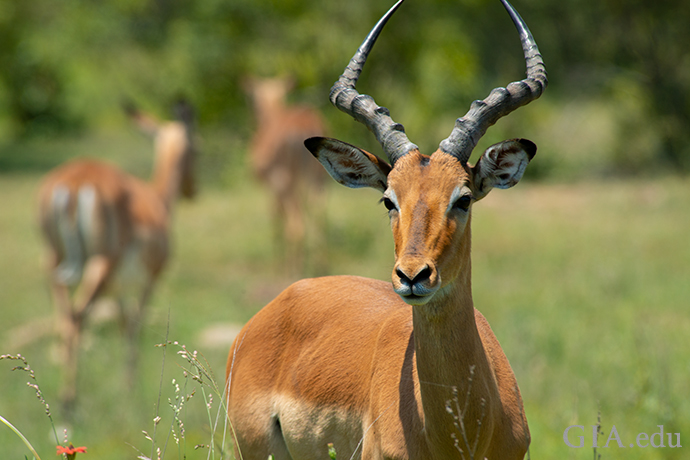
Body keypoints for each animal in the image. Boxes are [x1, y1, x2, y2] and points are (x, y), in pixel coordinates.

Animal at [38, 99, 196, 416]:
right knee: (77, 316)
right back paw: (69, 401)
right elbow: (134, 324)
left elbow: (123, 322)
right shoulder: (150, 280)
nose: (192, 190)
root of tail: (74, 182)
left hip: (54, 264)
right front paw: (129, 389)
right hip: (100, 266)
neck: (157, 201)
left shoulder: (120, 288)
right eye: (197, 149)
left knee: (63, 318)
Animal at [243, 77, 326, 274]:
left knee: (296, 225)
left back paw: (292, 269)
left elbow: (275, 217)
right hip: (319, 181)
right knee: (319, 219)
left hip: (289, 183)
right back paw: (320, 267)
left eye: (252, 100)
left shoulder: (273, 186)